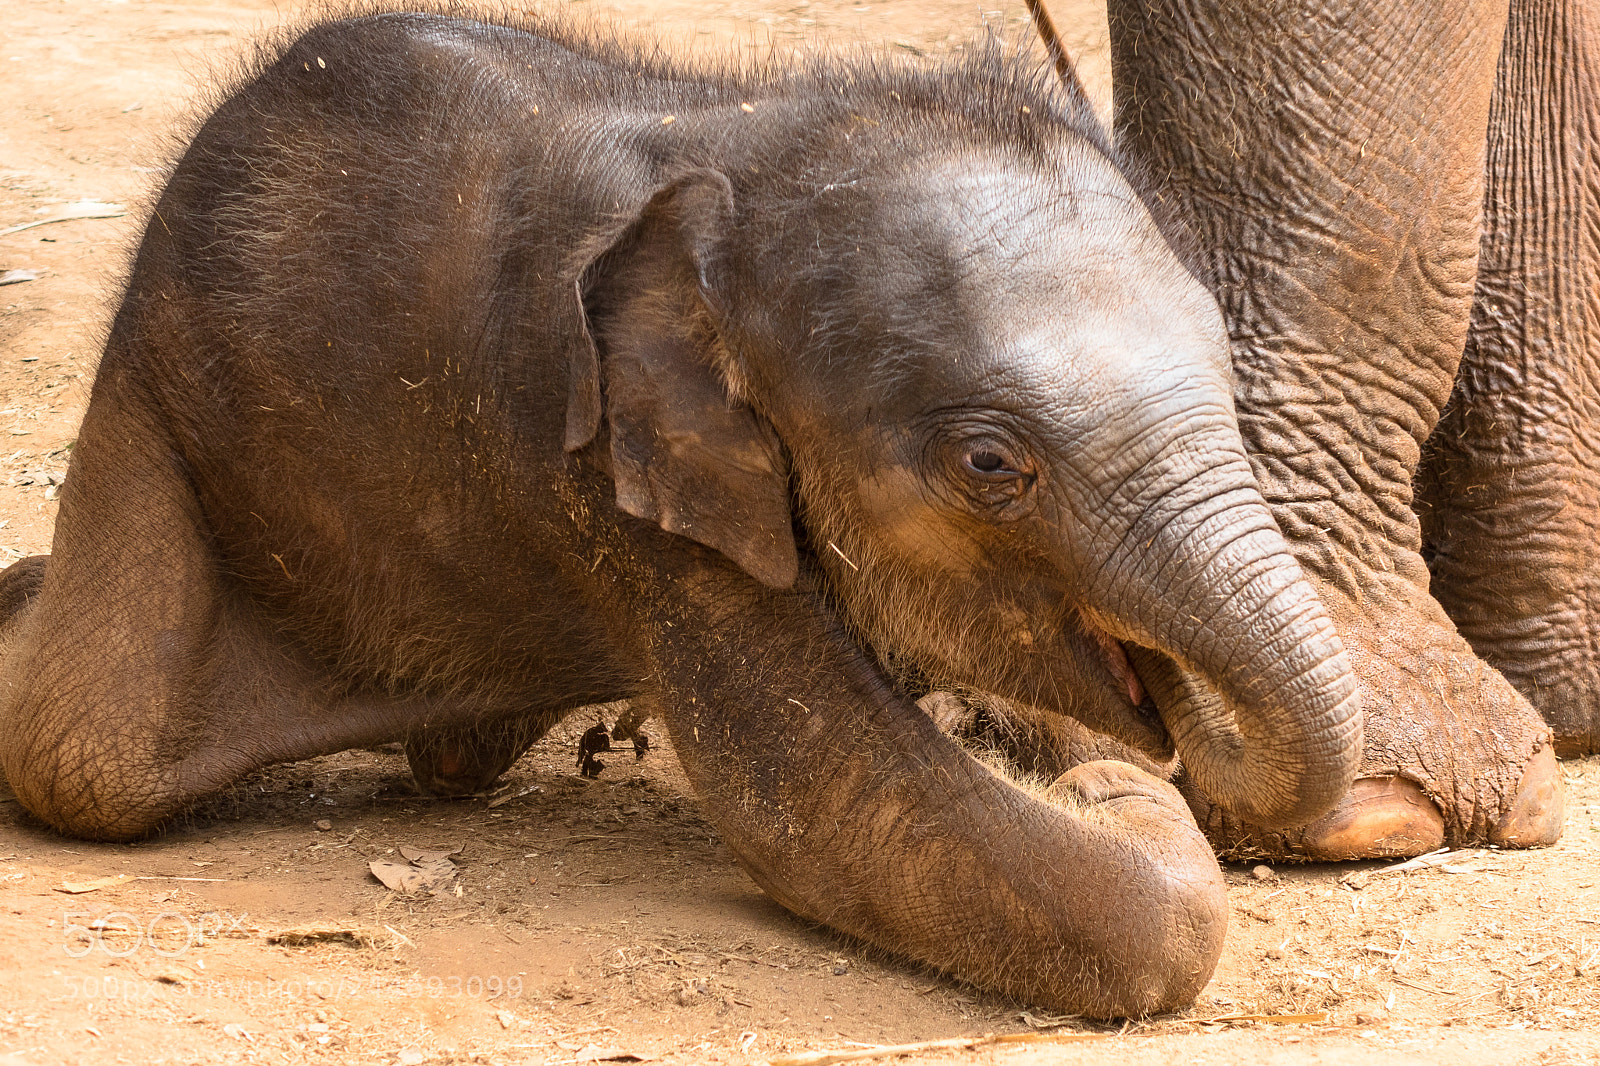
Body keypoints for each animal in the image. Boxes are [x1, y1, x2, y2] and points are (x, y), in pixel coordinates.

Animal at [0, 11, 1366, 1017]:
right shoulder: (622, 494)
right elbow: (822, 804)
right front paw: (1104, 794)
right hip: (161, 407)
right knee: (81, 752)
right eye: (991, 462)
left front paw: (1055, 755)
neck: (739, 152)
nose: (1155, 742)